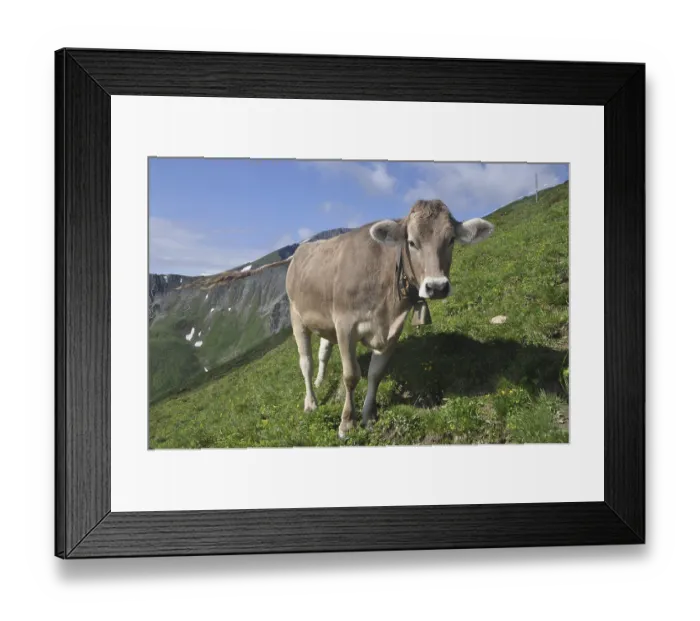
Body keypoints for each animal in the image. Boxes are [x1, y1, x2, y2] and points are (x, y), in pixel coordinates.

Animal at [285, 199, 494, 439]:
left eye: (450, 240)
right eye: (411, 242)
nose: (437, 287)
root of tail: (300, 250)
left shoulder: (393, 331)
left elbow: (375, 374)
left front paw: (368, 415)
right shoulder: (345, 326)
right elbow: (351, 375)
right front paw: (347, 423)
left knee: (323, 353)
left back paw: (320, 382)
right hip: (296, 316)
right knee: (306, 362)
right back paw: (311, 402)